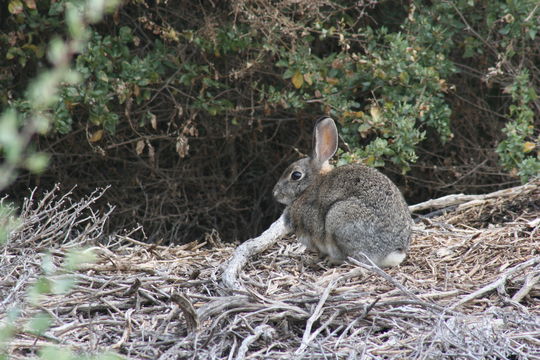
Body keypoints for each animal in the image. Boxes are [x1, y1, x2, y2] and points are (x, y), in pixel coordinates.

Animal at [274, 116, 414, 266]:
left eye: (296, 175)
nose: (275, 193)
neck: (310, 185)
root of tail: (393, 252)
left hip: (339, 217)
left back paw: (332, 260)